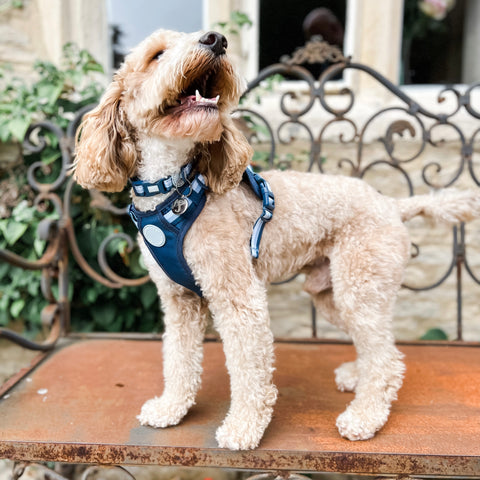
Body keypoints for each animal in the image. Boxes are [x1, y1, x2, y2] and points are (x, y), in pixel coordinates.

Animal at [73, 30, 480, 450]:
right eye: (156, 55)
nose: (216, 40)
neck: (175, 190)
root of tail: (393, 205)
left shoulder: (239, 297)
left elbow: (250, 372)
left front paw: (243, 427)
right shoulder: (179, 301)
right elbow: (179, 360)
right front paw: (172, 408)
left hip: (360, 286)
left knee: (387, 359)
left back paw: (365, 417)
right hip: (334, 294)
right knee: (379, 344)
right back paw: (357, 375)